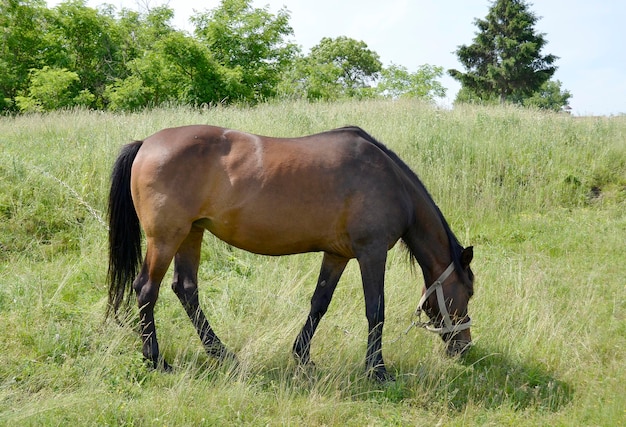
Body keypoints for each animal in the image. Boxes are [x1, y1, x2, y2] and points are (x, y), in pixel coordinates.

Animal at [107, 125, 470, 382]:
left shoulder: (337, 255)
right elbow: (376, 310)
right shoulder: (372, 252)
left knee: (185, 288)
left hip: (191, 233)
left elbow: (319, 303)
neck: (391, 182)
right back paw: (155, 359)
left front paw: (302, 356)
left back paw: (221, 353)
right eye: (468, 293)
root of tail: (146, 143)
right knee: (146, 290)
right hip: (167, 238)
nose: (464, 347)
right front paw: (377, 370)